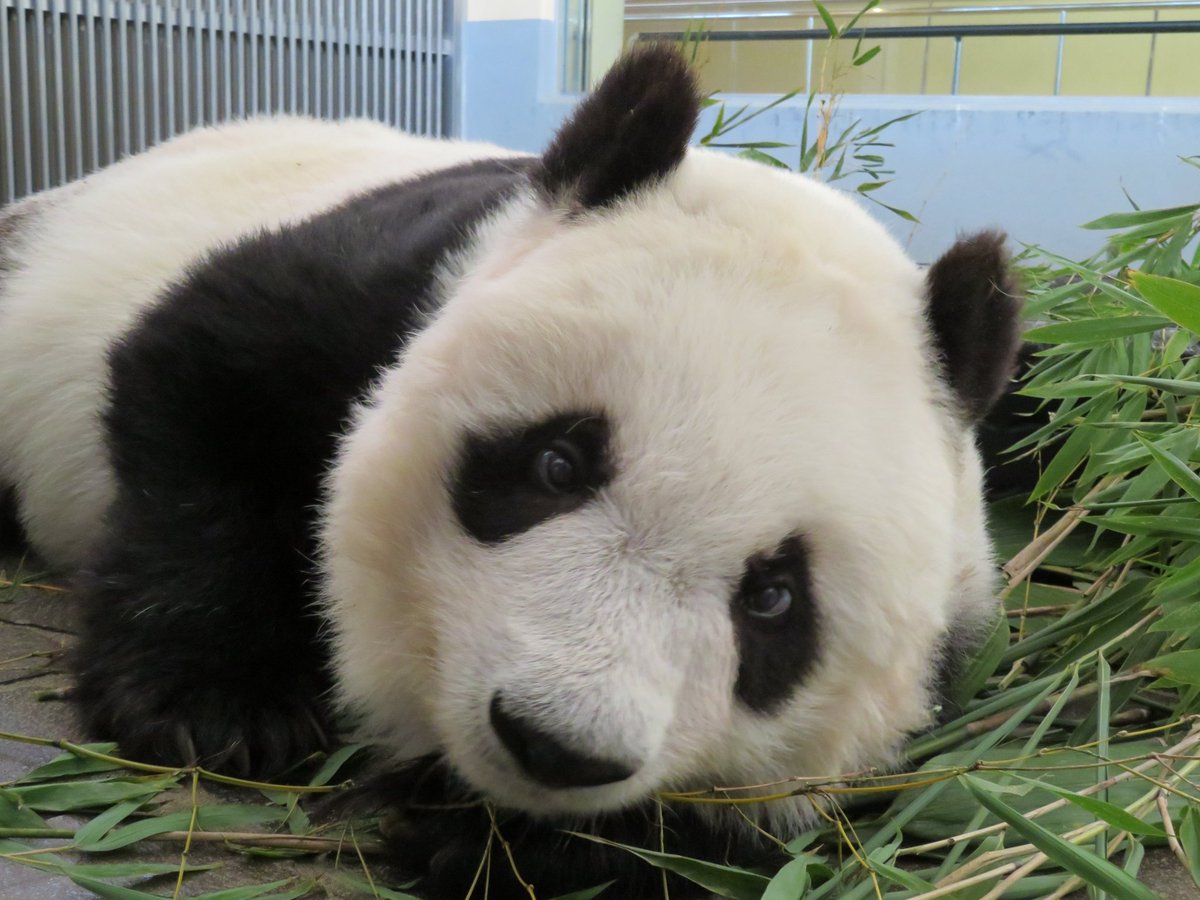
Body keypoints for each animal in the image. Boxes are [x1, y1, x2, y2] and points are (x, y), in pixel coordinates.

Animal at [0, 46, 1020, 897]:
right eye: (557, 463)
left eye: (774, 598)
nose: (554, 743)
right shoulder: (374, 284)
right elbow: (200, 388)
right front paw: (221, 709)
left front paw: (499, 844)